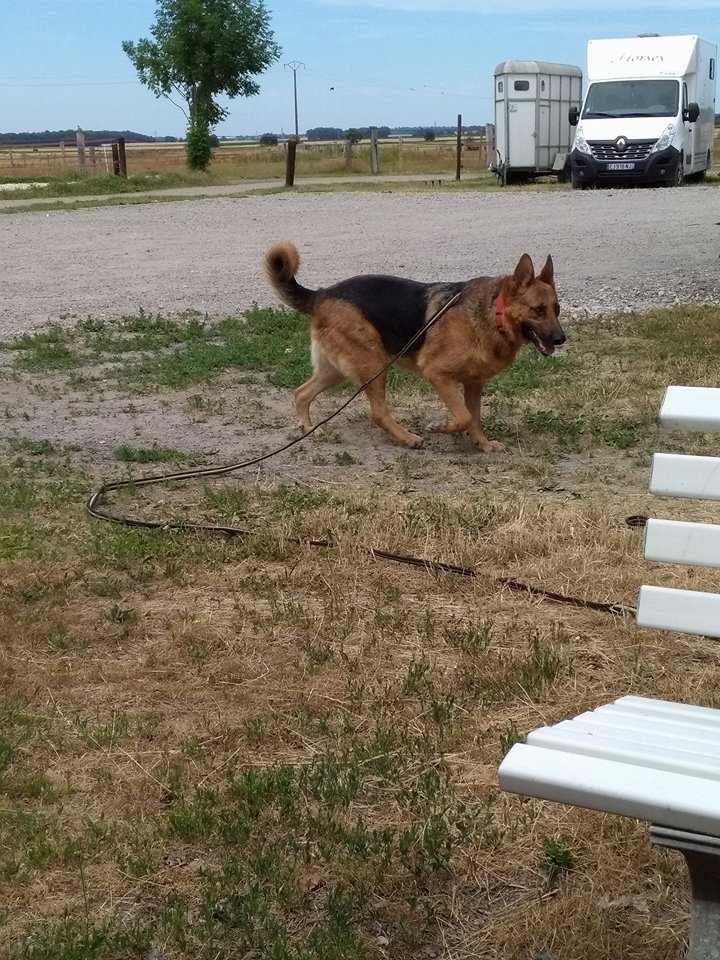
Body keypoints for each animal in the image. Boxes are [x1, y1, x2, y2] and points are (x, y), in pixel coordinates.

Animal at [262, 240, 564, 450]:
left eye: (557, 309)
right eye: (538, 310)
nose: (562, 339)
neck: (493, 314)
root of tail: (321, 294)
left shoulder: (474, 384)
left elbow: (475, 417)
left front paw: (483, 444)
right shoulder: (438, 375)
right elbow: (464, 416)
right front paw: (440, 426)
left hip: (336, 371)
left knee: (301, 393)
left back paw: (310, 429)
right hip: (374, 365)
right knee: (377, 413)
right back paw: (407, 438)